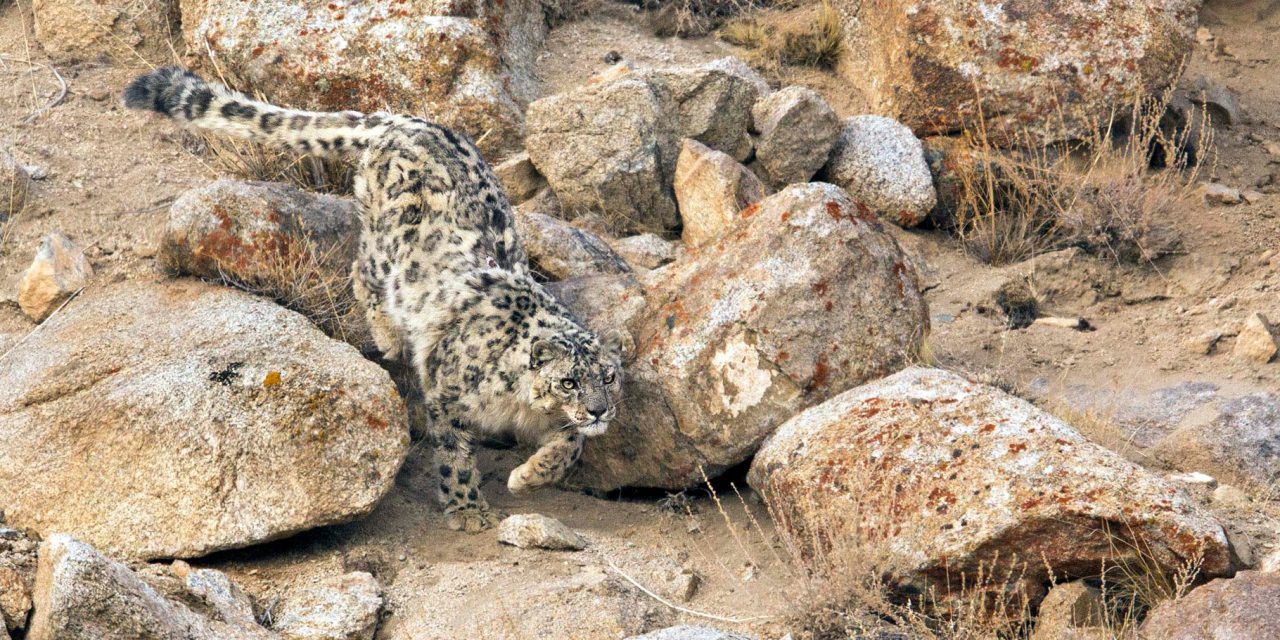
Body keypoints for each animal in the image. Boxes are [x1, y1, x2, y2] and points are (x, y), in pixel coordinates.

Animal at [124, 67, 624, 533]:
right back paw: (388, 335)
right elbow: (454, 454)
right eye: (568, 382)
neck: (521, 406)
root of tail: (404, 120)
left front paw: (529, 475)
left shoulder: (558, 423)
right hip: (386, 248)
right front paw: (467, 508)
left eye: (609, 376)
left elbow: (572, 444)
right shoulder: (447, 395)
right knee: (361, 271)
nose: (600, 409)